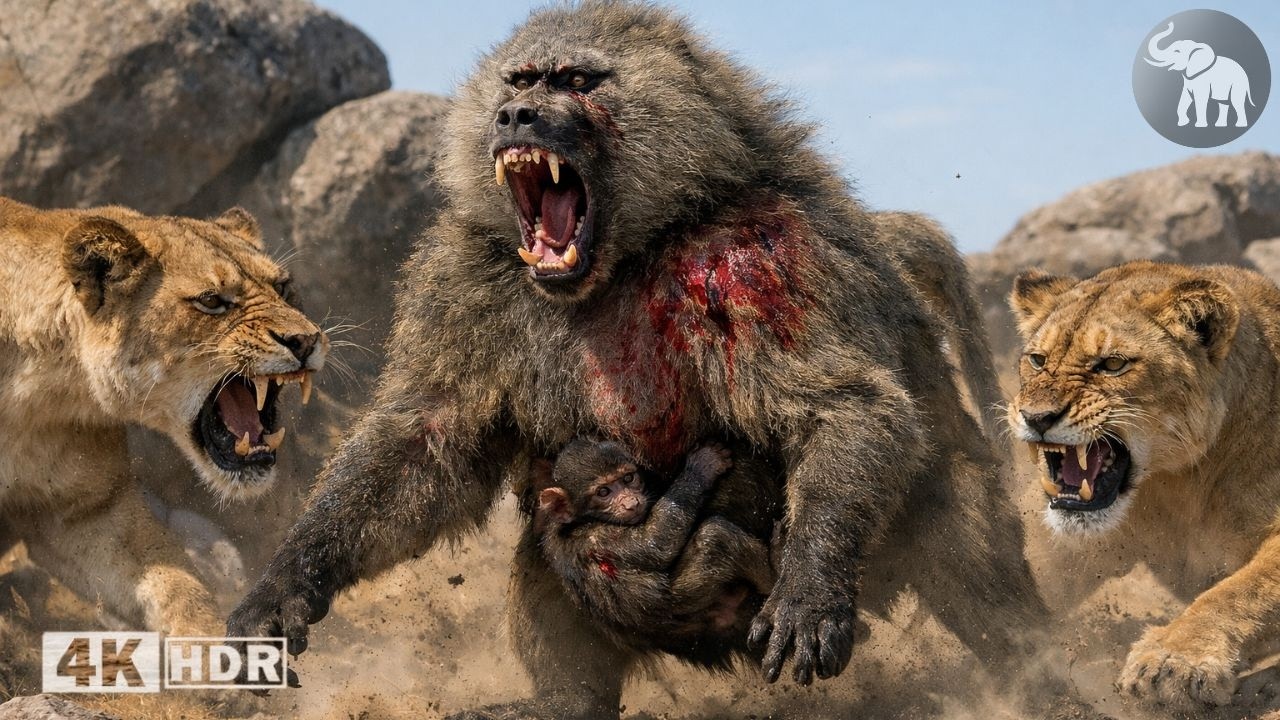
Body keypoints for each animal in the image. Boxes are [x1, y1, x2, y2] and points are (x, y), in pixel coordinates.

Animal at [0, 196, 327, 636]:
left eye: (282, 288)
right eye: (212, 301)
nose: (306, 340)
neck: (35, 394)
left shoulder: (87, 511)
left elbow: (178, 585)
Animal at [533, 440, 774, 652]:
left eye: (628, 478)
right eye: (603, 492)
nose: (631, 503)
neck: (578, 521)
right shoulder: (598, 537)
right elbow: (655, 543)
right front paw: (702, 466)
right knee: (715, 537)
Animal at [1008, 259, 1280, 708]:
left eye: (1112, 364)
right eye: (1037, 359)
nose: (1036, 417)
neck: (1182, 482)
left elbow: (1240, 591)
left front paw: (1173, 659)